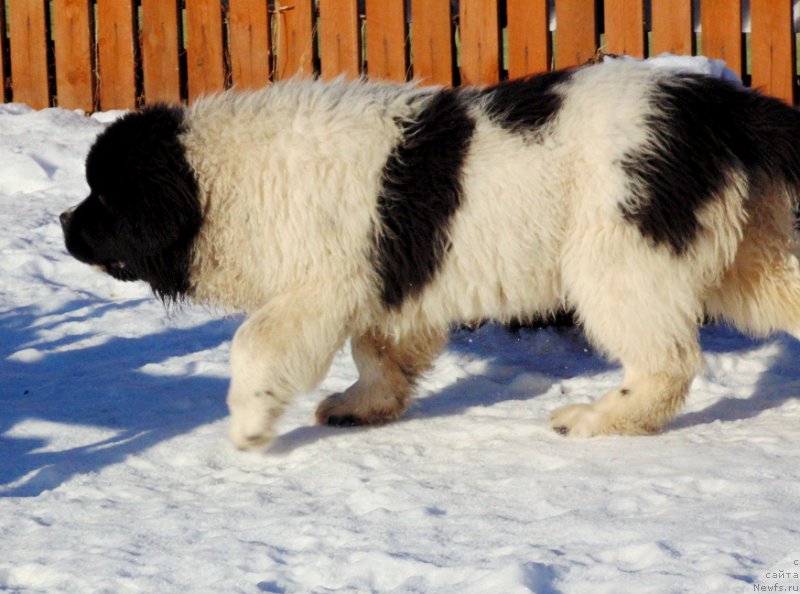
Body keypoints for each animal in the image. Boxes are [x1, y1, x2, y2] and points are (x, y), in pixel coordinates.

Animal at [61, 60, 800, 448]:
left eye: (103, 195)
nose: (64, 222)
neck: (223, 182)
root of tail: (717, 106)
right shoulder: (388, 286)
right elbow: (380, 353)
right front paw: (364, 405)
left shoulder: (319, 288)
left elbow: (257, 344)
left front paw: (248, 421)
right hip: (743, 256)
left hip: (616, 256)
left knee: (665, 362)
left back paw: (595, 418)